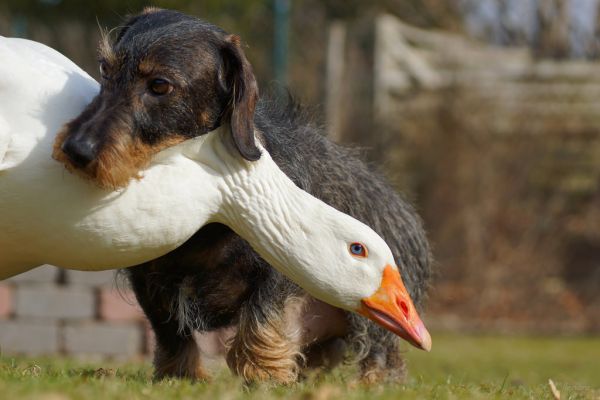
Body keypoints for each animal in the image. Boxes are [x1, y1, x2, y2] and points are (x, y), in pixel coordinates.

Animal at [52, 8, 432, 384]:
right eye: (105, 68)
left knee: (379, 353)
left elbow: (261, 316)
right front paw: (181, 376)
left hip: (375, 315)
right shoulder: (148, 280)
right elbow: (170, 331)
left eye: (160, 85)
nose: (76, 150)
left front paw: (262, 373)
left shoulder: (279, 270)